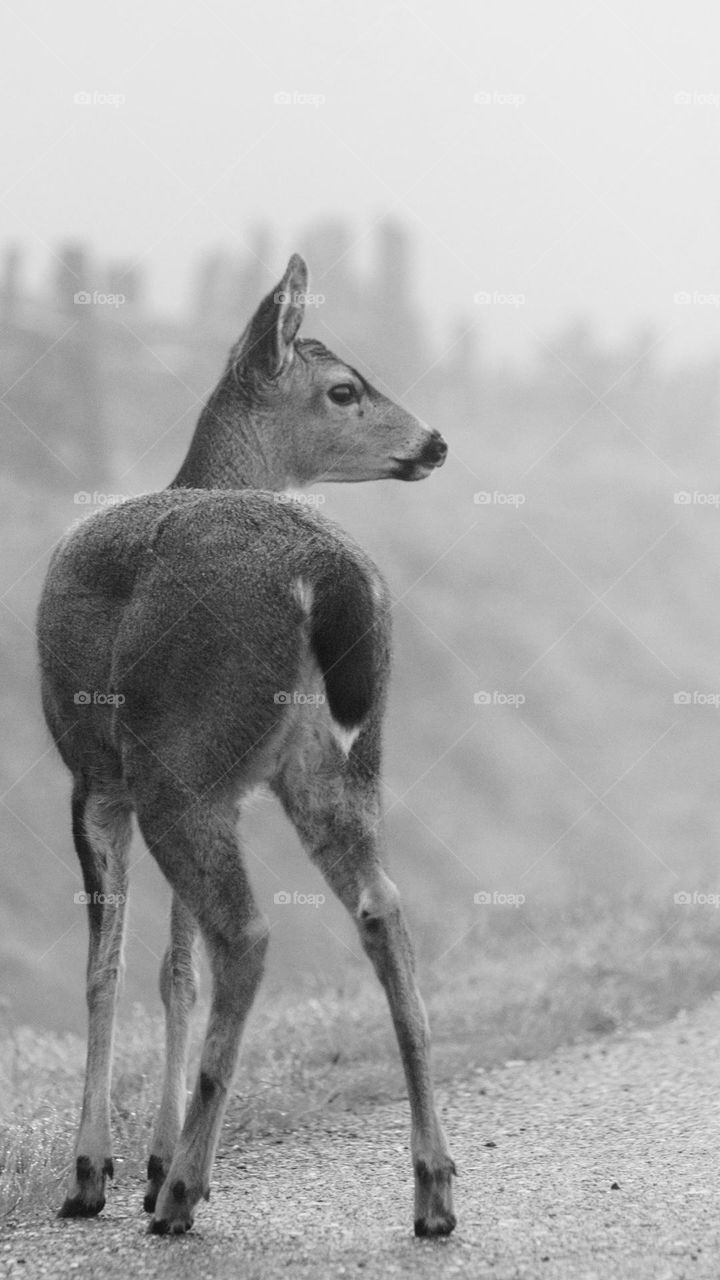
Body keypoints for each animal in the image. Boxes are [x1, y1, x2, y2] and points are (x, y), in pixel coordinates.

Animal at [36, 252, 453, 1239]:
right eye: (345, 388)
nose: (434, 443)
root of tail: (327, 572)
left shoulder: (93, 777)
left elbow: (109, 967)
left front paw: (98, 1170)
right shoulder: (213, 788)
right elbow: (173, 970)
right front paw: (147, 1156)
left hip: (175, 763)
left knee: (251, 934)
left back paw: (182, 1192)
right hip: (333, 760)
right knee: (381, 907)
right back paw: (433, 1188)